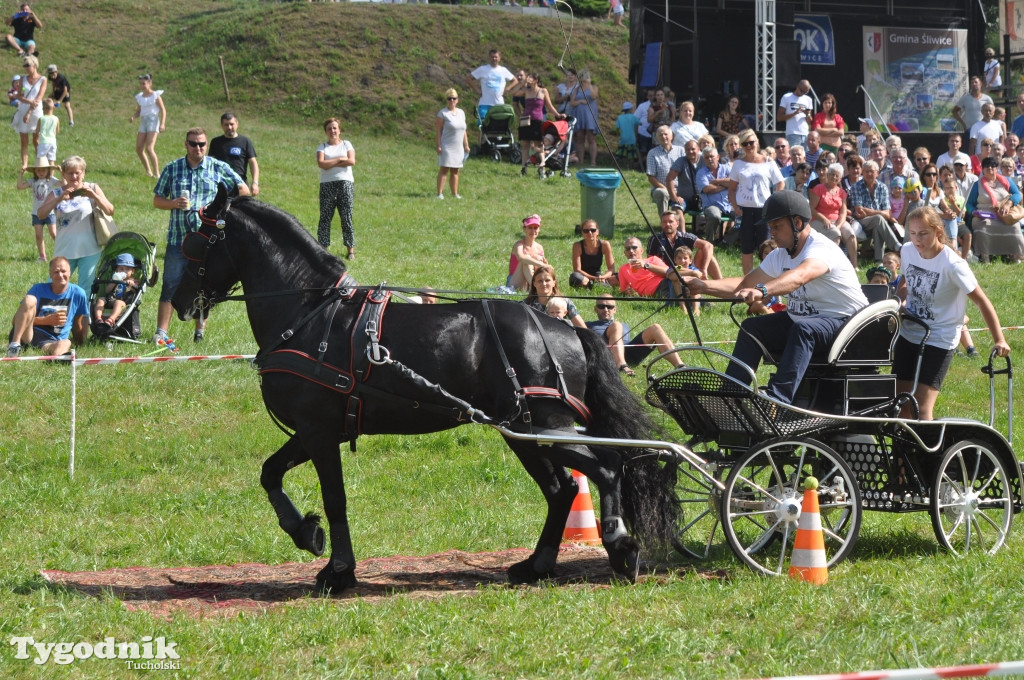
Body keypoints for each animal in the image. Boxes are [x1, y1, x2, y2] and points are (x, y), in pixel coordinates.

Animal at [172, 188, 675, 593]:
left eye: (194, 242)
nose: (178, 301)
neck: (310, 314)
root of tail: (566, 328)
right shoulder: (315, 430)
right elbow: (270, 473)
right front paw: (306, 533)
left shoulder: (319, 432)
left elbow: (334, 499)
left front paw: (337, 570)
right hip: (524, 432)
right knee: (563, 489)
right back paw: (536, 565)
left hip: (547, 427)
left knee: (604, 468)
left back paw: (619, 546)